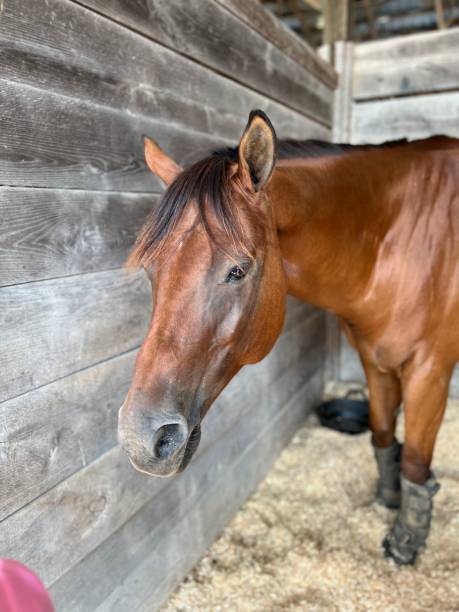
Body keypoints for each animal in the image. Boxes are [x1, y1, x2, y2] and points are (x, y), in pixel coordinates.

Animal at [119, 110, 459, 564]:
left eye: (238, 270)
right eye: (151, 270)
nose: (142, 438)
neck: (397, 239)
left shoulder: (430, 372)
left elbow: (416, 464)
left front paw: (406, 540)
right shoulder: (374, 358)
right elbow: (383, 434)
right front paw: (388, 499)